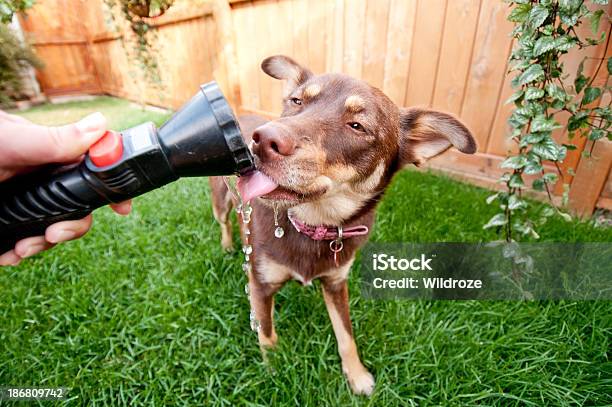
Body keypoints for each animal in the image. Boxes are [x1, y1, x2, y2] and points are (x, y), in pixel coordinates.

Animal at [208, 55, 476, 396]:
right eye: (297, 101)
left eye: (357, 126)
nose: (261, 140)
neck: (313, 224)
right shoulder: (260, 283)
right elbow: (267, 334)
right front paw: (273, 370)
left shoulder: (337, 282)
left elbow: (346, 336)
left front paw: (357, 375)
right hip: (222, 200)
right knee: (224, 222)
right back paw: (228, 245)